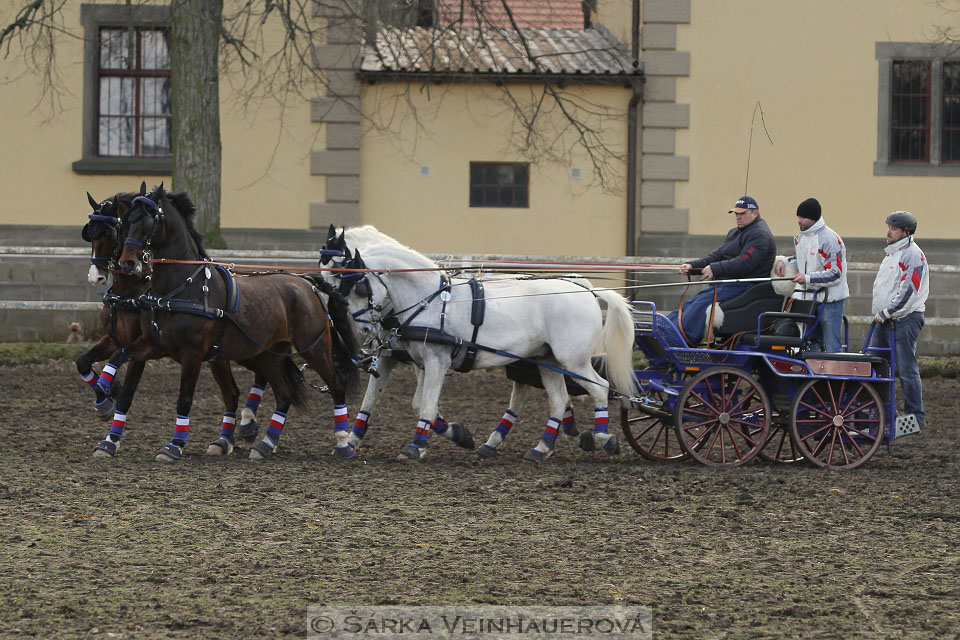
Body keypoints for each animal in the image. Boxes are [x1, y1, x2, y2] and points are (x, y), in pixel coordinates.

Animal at [111, 184, 360, 460]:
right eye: (126, 221)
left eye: (149, 220)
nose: (127, 262)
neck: (182, 288)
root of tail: (307, 283)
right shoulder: (153, 344)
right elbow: (119, 359)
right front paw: (105, 396)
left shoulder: (192, 354)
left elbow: (184, 399)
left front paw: (174, 445)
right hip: (269, 354)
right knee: (284, 393)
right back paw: (265, 444)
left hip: (313, 349)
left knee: (336, 384)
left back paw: (343, 443)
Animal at [322, 225, 636, 460]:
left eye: (356, 285)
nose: (363, 327)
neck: (428, 298)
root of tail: (585, 288)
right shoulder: (415, 361)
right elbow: (410, 402)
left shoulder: (436, 361)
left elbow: (425, 406)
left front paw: (416, 446)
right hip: (548, 360)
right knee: (559, 401)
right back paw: (541, 447)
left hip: (574, 360)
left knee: (600, 388)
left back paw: (604, 437)